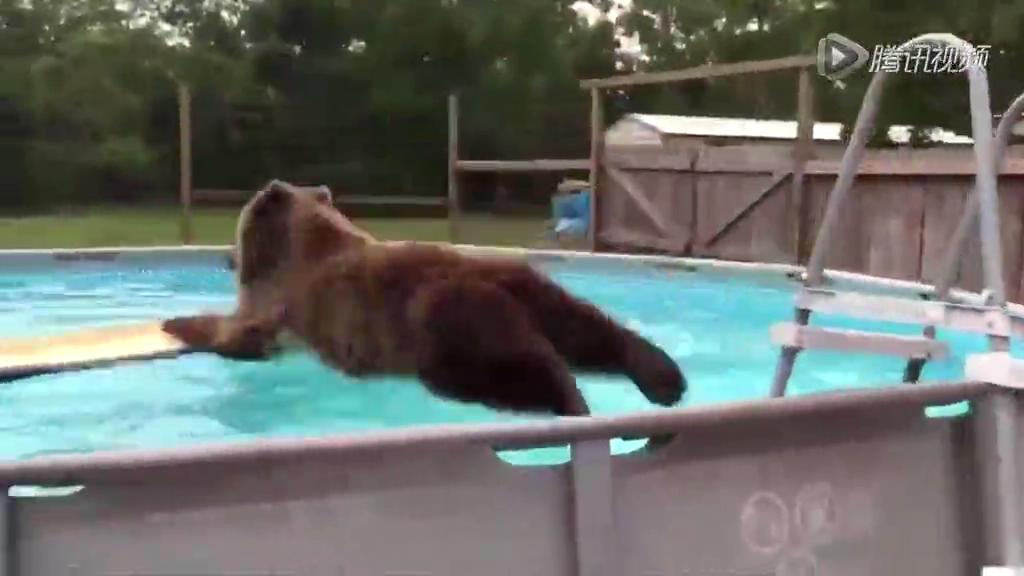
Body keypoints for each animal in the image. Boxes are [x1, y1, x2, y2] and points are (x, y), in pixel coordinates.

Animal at [161, 178, 688, 412]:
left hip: (444, 322)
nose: (224, 257)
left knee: (508, 371)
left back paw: (571, 402)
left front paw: (178, 323)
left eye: (235, 239)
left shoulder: (282, 300)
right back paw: (663, 378)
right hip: (538, 293)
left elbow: (236, 331)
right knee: (597, 331)